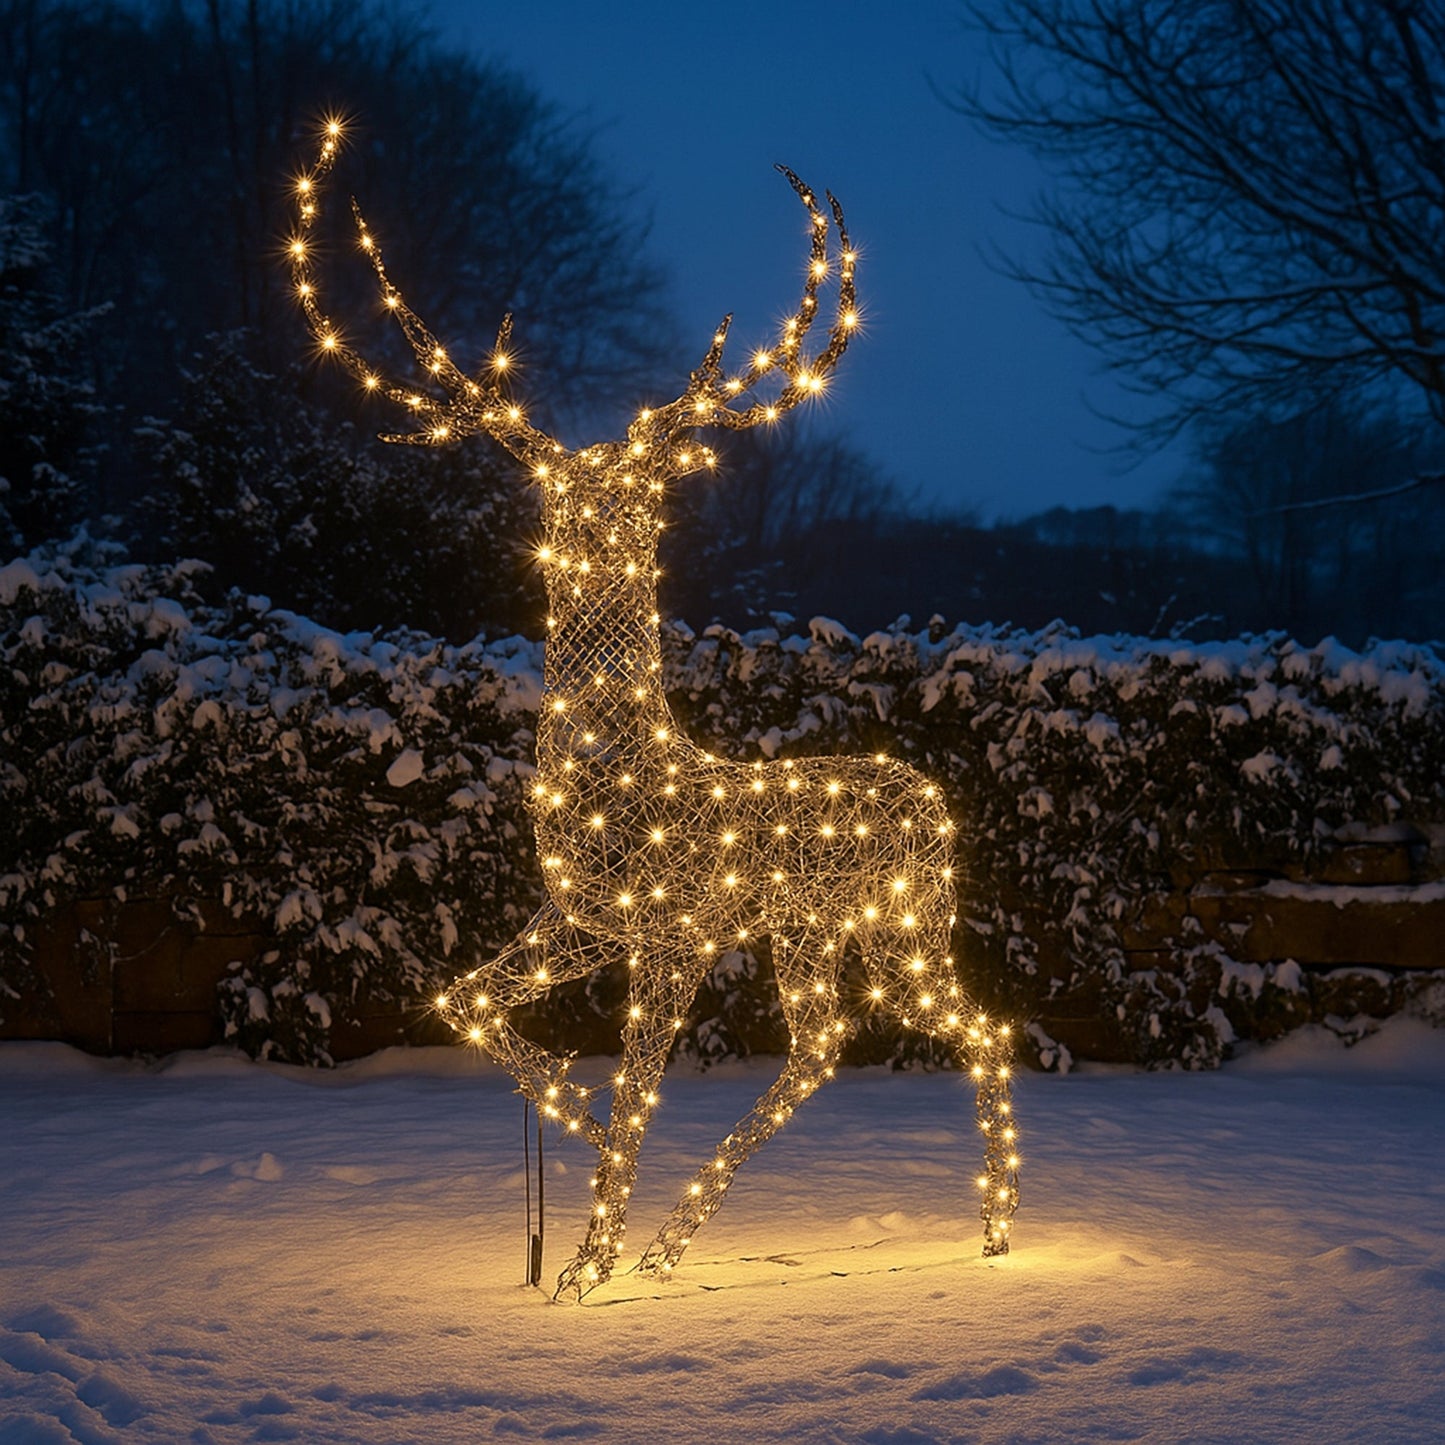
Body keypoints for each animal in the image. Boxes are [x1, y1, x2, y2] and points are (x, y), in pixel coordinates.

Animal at [288, 120, 1020, 1301]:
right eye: (555, 492)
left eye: (638, 495)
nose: (592, 529)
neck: (617, 772)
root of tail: (932, 802)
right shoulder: (579, 919)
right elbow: (462, 1002)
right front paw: (575, 1150)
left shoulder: (673, 931)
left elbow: (640, 1081)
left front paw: (587, 1255)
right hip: (822, 925)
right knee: (835, 1041)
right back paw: (687, 1242)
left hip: (897, 917)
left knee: (964, 1027)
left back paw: (991, 1235)